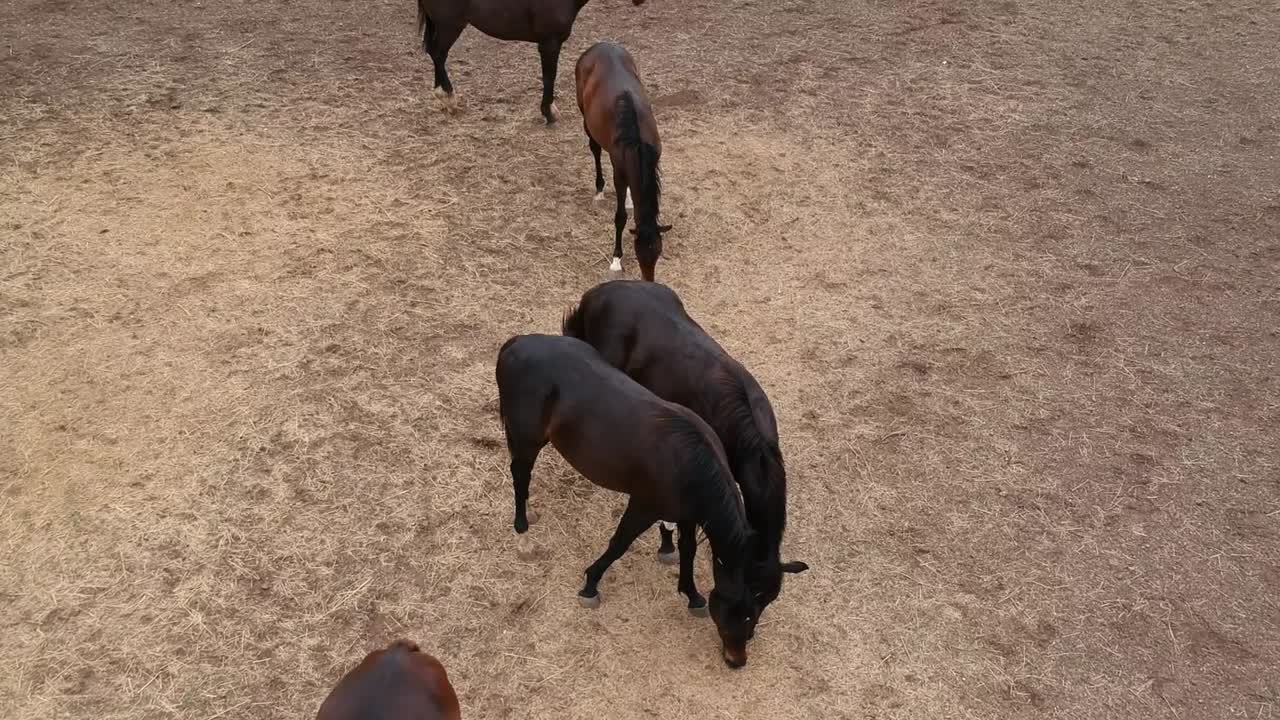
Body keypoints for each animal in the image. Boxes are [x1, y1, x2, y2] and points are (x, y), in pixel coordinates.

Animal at [415, 0, 646, 125]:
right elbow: (549, 77)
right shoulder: (549, 43)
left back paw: (442, 95)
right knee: (438, 54)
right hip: (450, 26)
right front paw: (549, 113)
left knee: (436, 54)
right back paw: (449, 97)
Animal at [496, 333, 760, 668]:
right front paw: (590, 585)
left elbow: (687, 550)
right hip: (527, 438)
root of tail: (516, 343)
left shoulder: (688, 514)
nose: (737, 661)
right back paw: (522, 527)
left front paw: (692, 595)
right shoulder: (643, 506)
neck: (691, 463)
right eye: (733, 613)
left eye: (753, 615)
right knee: (520, 474)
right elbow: (619, 543)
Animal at [575, 41, 671, 281]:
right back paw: (599, 189)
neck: (635, 139)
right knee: (595, 149)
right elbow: (620, 217)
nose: (649, 282)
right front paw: (616, 259)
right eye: (638, 253)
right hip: (585, 117)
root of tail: (601, 44)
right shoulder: (618, 172)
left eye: (657, 252)